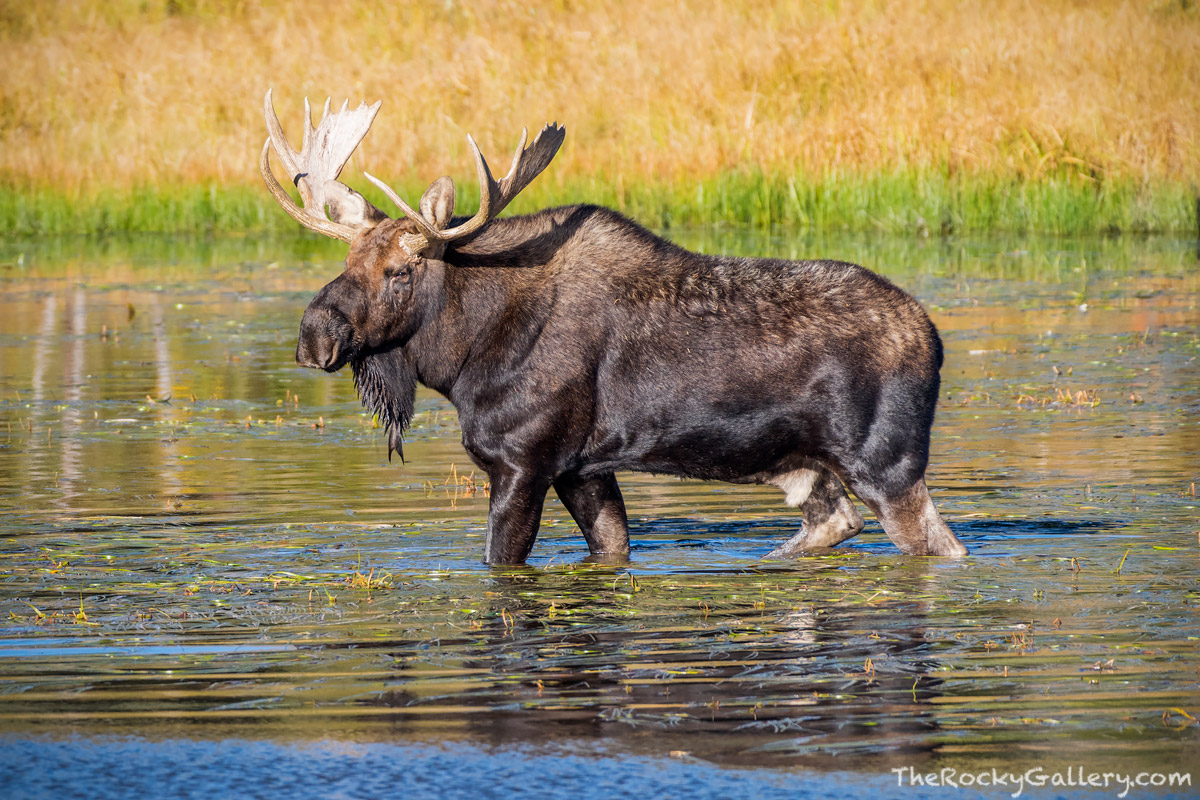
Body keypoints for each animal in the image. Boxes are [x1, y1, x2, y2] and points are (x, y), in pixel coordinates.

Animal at [260, 92, 964, 563]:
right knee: (832, 523)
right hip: (807, 465)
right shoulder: (582, 467)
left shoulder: (522, 461)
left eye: (401, 270)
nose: (314, 336)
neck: (459, 360)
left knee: (939, 546)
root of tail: (933, 340)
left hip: (885, 462)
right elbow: (612, 548)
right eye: (347, 261)